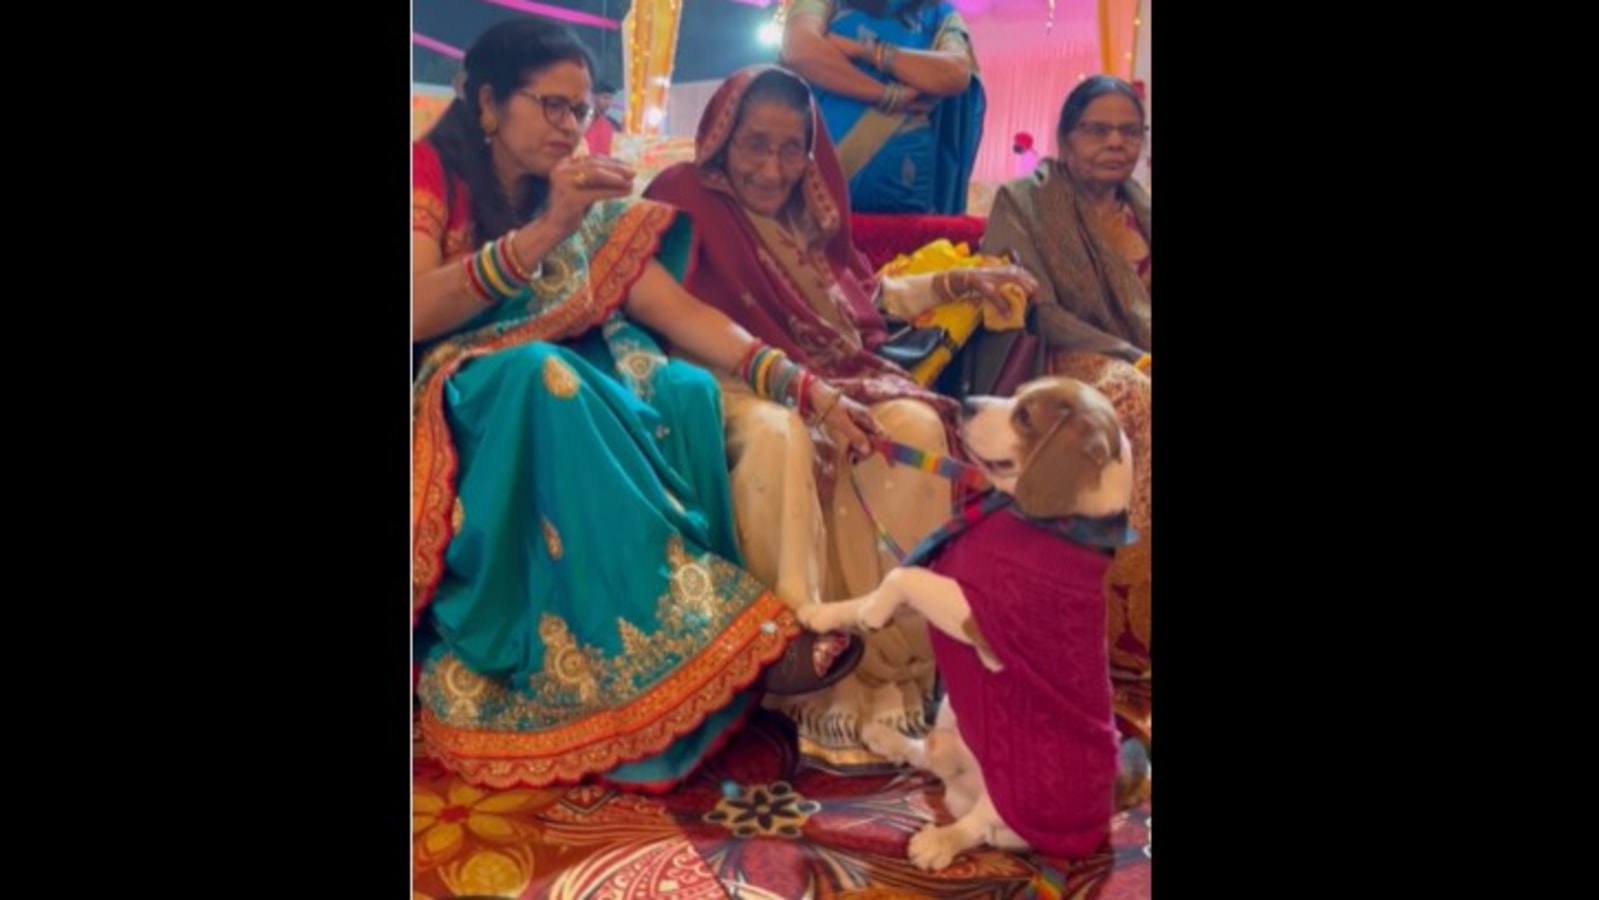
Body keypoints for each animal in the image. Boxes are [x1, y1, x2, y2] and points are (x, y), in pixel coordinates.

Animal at [799, 378, 1138, 876]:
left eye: (1025, 417)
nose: (965, 403)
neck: (1057, 524)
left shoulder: (975, 615)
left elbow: (904, 576)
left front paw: (874, 612)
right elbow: (887, 582)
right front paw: (828, 613)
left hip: (1010, 797)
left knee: (979, 825)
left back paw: (938, 841)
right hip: (948, 724)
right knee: (928, 755)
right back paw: (887, 737)